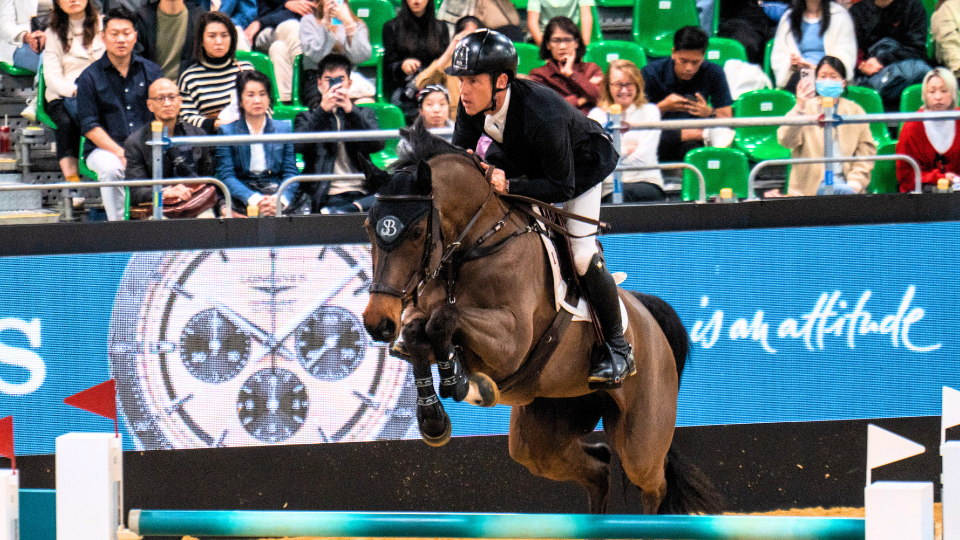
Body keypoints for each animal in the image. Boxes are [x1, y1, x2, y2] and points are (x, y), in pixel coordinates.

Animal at [360, 121, 719, 515]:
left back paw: (617, 362)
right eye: (368, 228)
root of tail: (648, 319)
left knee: (655, 484)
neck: (475, 245)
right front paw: (434, 419)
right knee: (597, 467)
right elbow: (419, 330)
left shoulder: (511, 341)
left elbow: (443, 319)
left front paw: (464, 383)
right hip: (543, 433)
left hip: (641, 437)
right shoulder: (422, 314)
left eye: (416, 232)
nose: (377, 323)